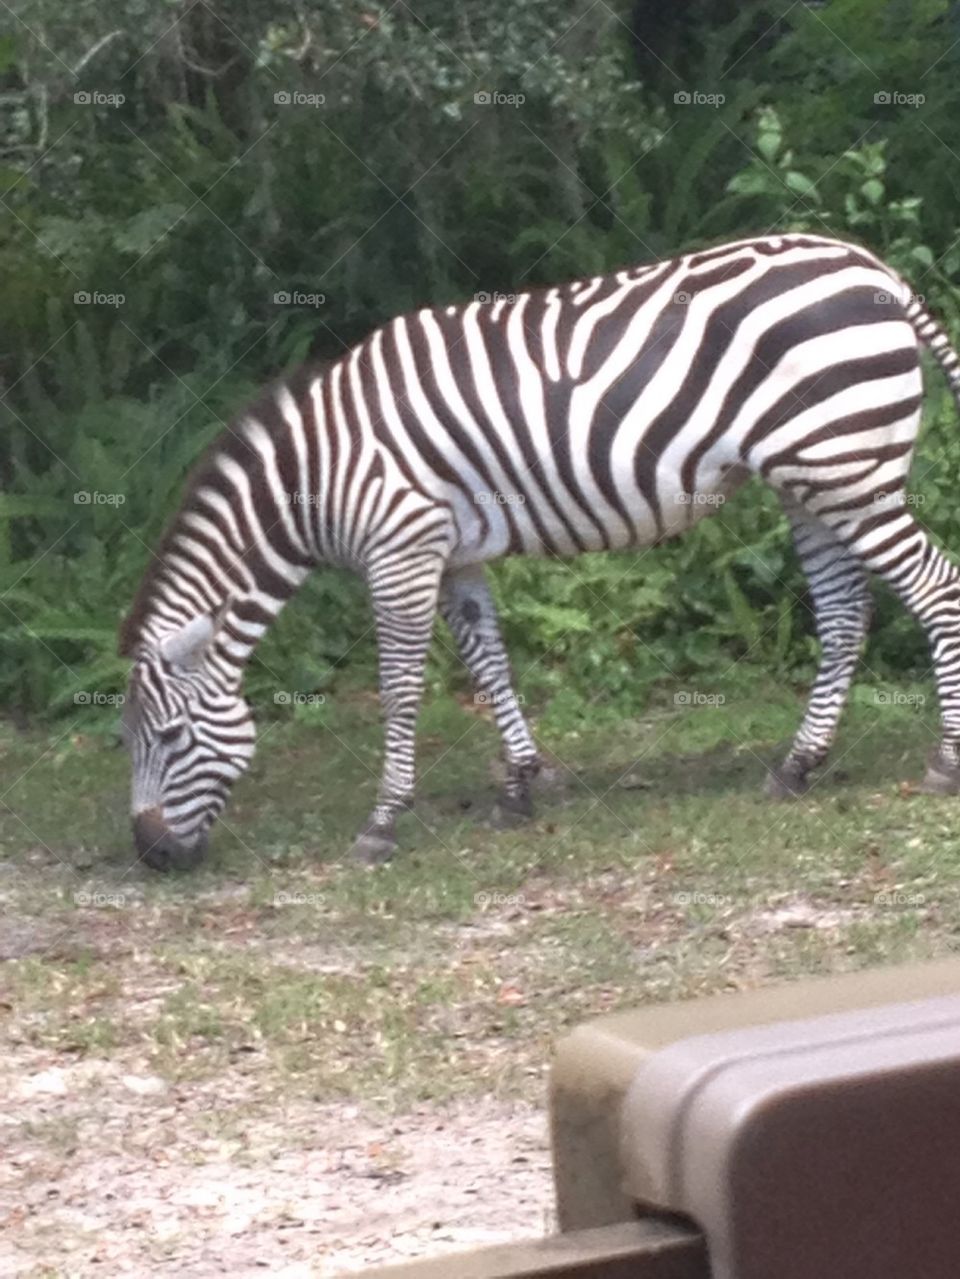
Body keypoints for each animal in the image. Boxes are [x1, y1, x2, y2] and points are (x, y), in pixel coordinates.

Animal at [119, 231, 960, 870]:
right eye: (126, 740)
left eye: (170, 736)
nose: (151, 856)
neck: (320, 472)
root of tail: (873, 265)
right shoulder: (453, 553)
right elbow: (488, 662)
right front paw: (519, 786)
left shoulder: (401, 550)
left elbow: (400, 687)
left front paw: (384, 820)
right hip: (811, 480)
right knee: (846, 612)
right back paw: (797, 765)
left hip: (847, 469)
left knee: (935, 590)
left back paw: (945, 762)